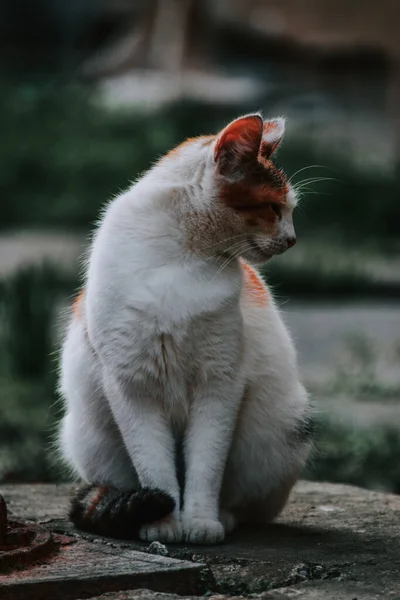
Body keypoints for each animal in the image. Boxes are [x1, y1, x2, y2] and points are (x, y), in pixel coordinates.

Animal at [57, 115, 312, 548]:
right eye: (273, 207)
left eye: (291, 210)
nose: (293, 240)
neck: (181, 256)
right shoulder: (131, 384)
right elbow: (154, 465)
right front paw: (163, 523)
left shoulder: (220, 382)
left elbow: (206, 465)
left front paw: (200, 521)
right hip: (88, 434)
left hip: (283, 430)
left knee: (245, 502)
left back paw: (224, 517)